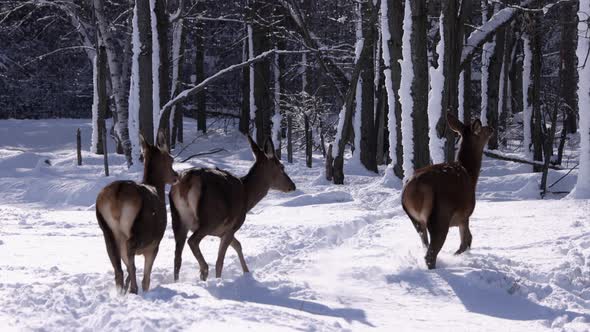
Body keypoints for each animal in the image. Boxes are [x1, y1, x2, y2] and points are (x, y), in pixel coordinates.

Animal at [95, 132, 177, 294]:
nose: (176, 176)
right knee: (130, 251)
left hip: (107, 229)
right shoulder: (154, 244)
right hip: (139, 229)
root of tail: (117, 192)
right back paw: (133, 288)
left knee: (118, 265)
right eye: (171, 159)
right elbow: (147, 277)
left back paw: (121, 291)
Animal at [172, 134, 298, 282]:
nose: (292, 185)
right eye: (282, 167)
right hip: (210, 218)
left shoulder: (223, 231)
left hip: (178, 219)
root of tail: (187, 180)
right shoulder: (232, 226)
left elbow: (238, 245)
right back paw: (204, 270)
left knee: (177, 258)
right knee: (193, 241)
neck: (247, 198)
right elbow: (220, 261)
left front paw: (247, 272)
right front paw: (220, 280)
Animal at [402, 113, 494, 268]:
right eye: (483, 130)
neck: (471, 174)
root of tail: (415, 190)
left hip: (415, 220)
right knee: (430, 254)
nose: (492, 128)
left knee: (425, 244)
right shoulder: (465, 214)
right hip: (440, 216)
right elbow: (466, 241)